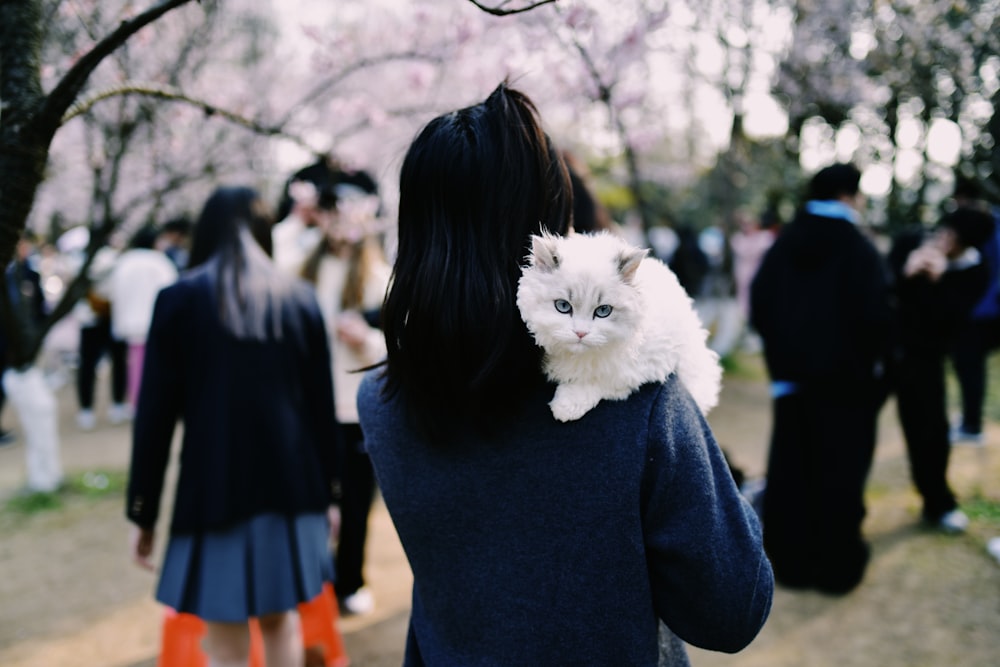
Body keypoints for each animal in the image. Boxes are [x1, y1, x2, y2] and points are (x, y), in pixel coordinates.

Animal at [520, 231, 724, 422]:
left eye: (603, 311)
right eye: (563, 306)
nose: (581, 333)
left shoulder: (644, 366)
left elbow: (601, 379)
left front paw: (567, 405)